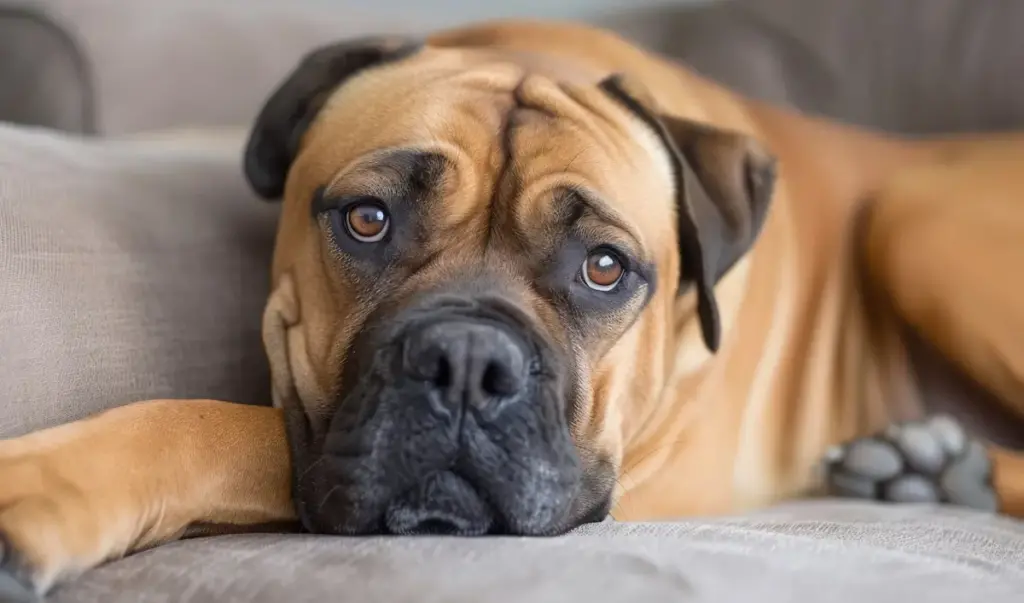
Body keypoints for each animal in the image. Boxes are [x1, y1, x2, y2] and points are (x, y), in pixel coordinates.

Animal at [2, 18, 1024, 597]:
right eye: (368, 219)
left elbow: (227, 424)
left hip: (915, 219)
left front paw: (40, 487)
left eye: (605, 268)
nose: (466, 362)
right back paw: (931, 464)